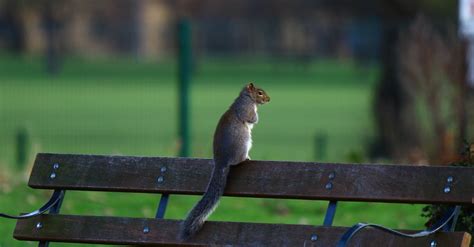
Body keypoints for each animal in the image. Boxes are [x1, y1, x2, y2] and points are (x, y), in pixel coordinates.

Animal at [179, 82, 270, 239]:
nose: (268, 99)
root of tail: (221, 161)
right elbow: (252, 118)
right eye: (259, 92)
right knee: (237, 160)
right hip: (244, 140)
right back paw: (246, 158)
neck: (246, 98)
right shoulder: (246, 108)